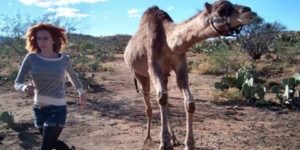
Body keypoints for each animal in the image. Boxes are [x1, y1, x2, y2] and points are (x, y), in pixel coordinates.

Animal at [123, 0, 256, 149]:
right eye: (221, 10)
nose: (249, 11)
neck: (168, 41)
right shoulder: (153, 66)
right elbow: (162, 98)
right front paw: (164, 142)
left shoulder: (181, 65)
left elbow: (189, 103)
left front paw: (189, 144)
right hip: (139, 73)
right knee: (149, 104)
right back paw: (148, 138)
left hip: (164, 75)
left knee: (165, 102)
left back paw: (174, 138)